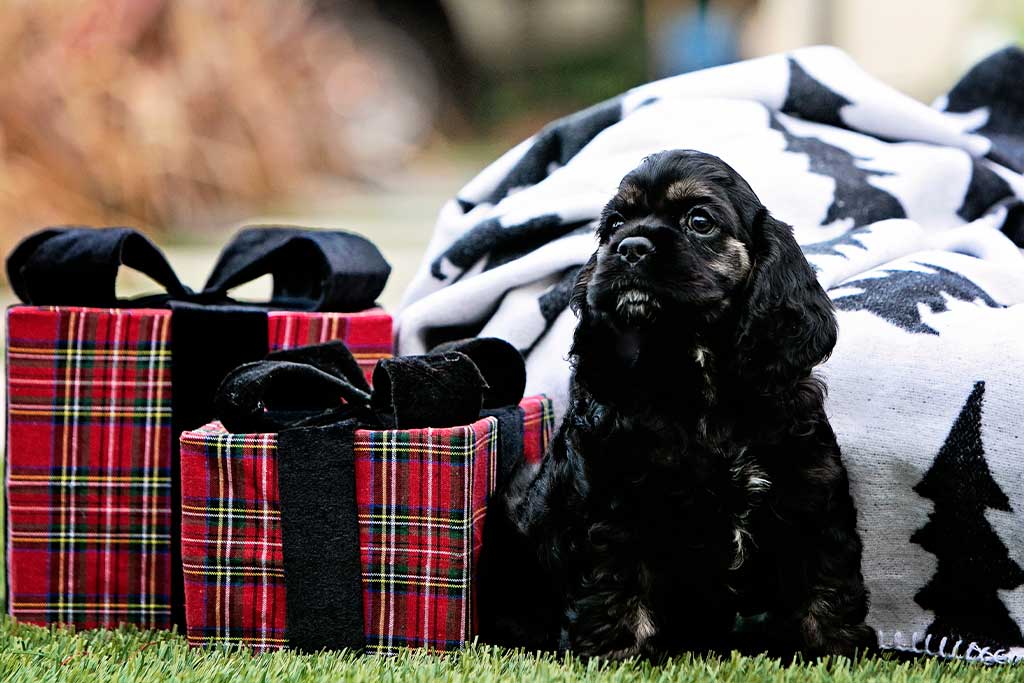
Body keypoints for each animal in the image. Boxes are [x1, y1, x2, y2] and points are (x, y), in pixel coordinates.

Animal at [479, 150, 872, 663]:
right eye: (614, 224)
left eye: (699, 221)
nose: (630, 247)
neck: (696, 384)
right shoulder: (613, 504)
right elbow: (615, 585)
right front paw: (616, 656)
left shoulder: (810, 494)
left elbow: (826, 583)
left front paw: (839, 652)